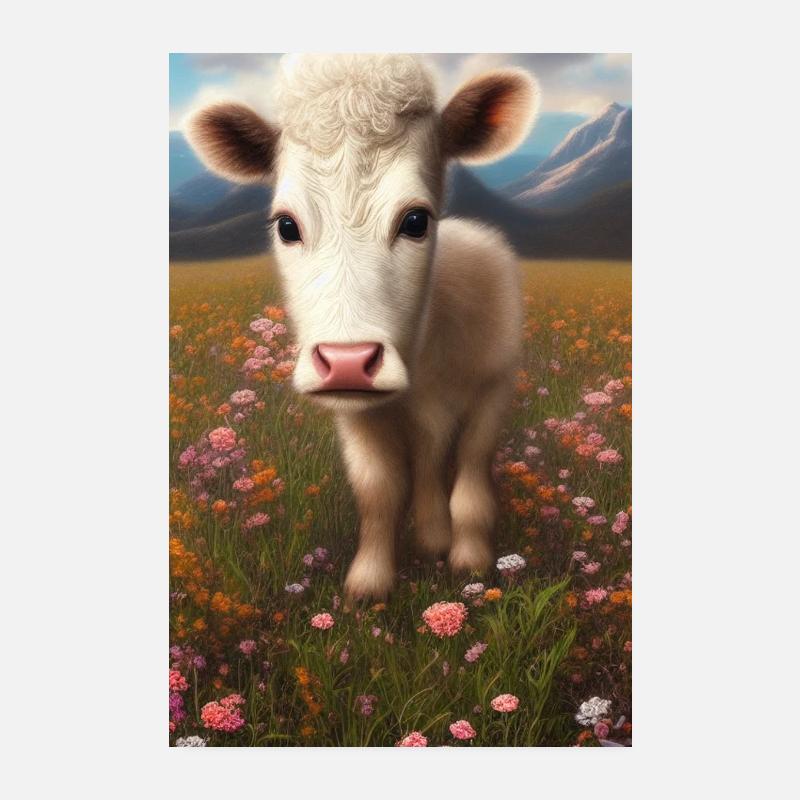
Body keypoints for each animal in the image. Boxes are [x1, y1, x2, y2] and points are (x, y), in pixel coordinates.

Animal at [186, 53, 538, 601]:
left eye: (416, 220)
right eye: (286, 225)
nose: (347, 363)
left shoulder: (493, 387)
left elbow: (471, 483)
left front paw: (471, 561)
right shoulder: (357, 416)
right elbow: (378, 492)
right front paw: (369, 583)